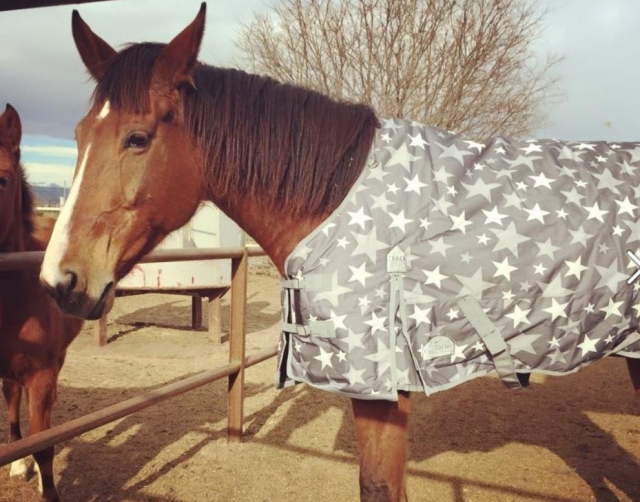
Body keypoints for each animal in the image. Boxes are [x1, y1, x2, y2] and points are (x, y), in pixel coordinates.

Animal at [38, 4, 640, 501]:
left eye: (137, 138)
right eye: (78, 135)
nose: (59, 281)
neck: (336, 198)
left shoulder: (378, 389)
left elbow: (378, 487)